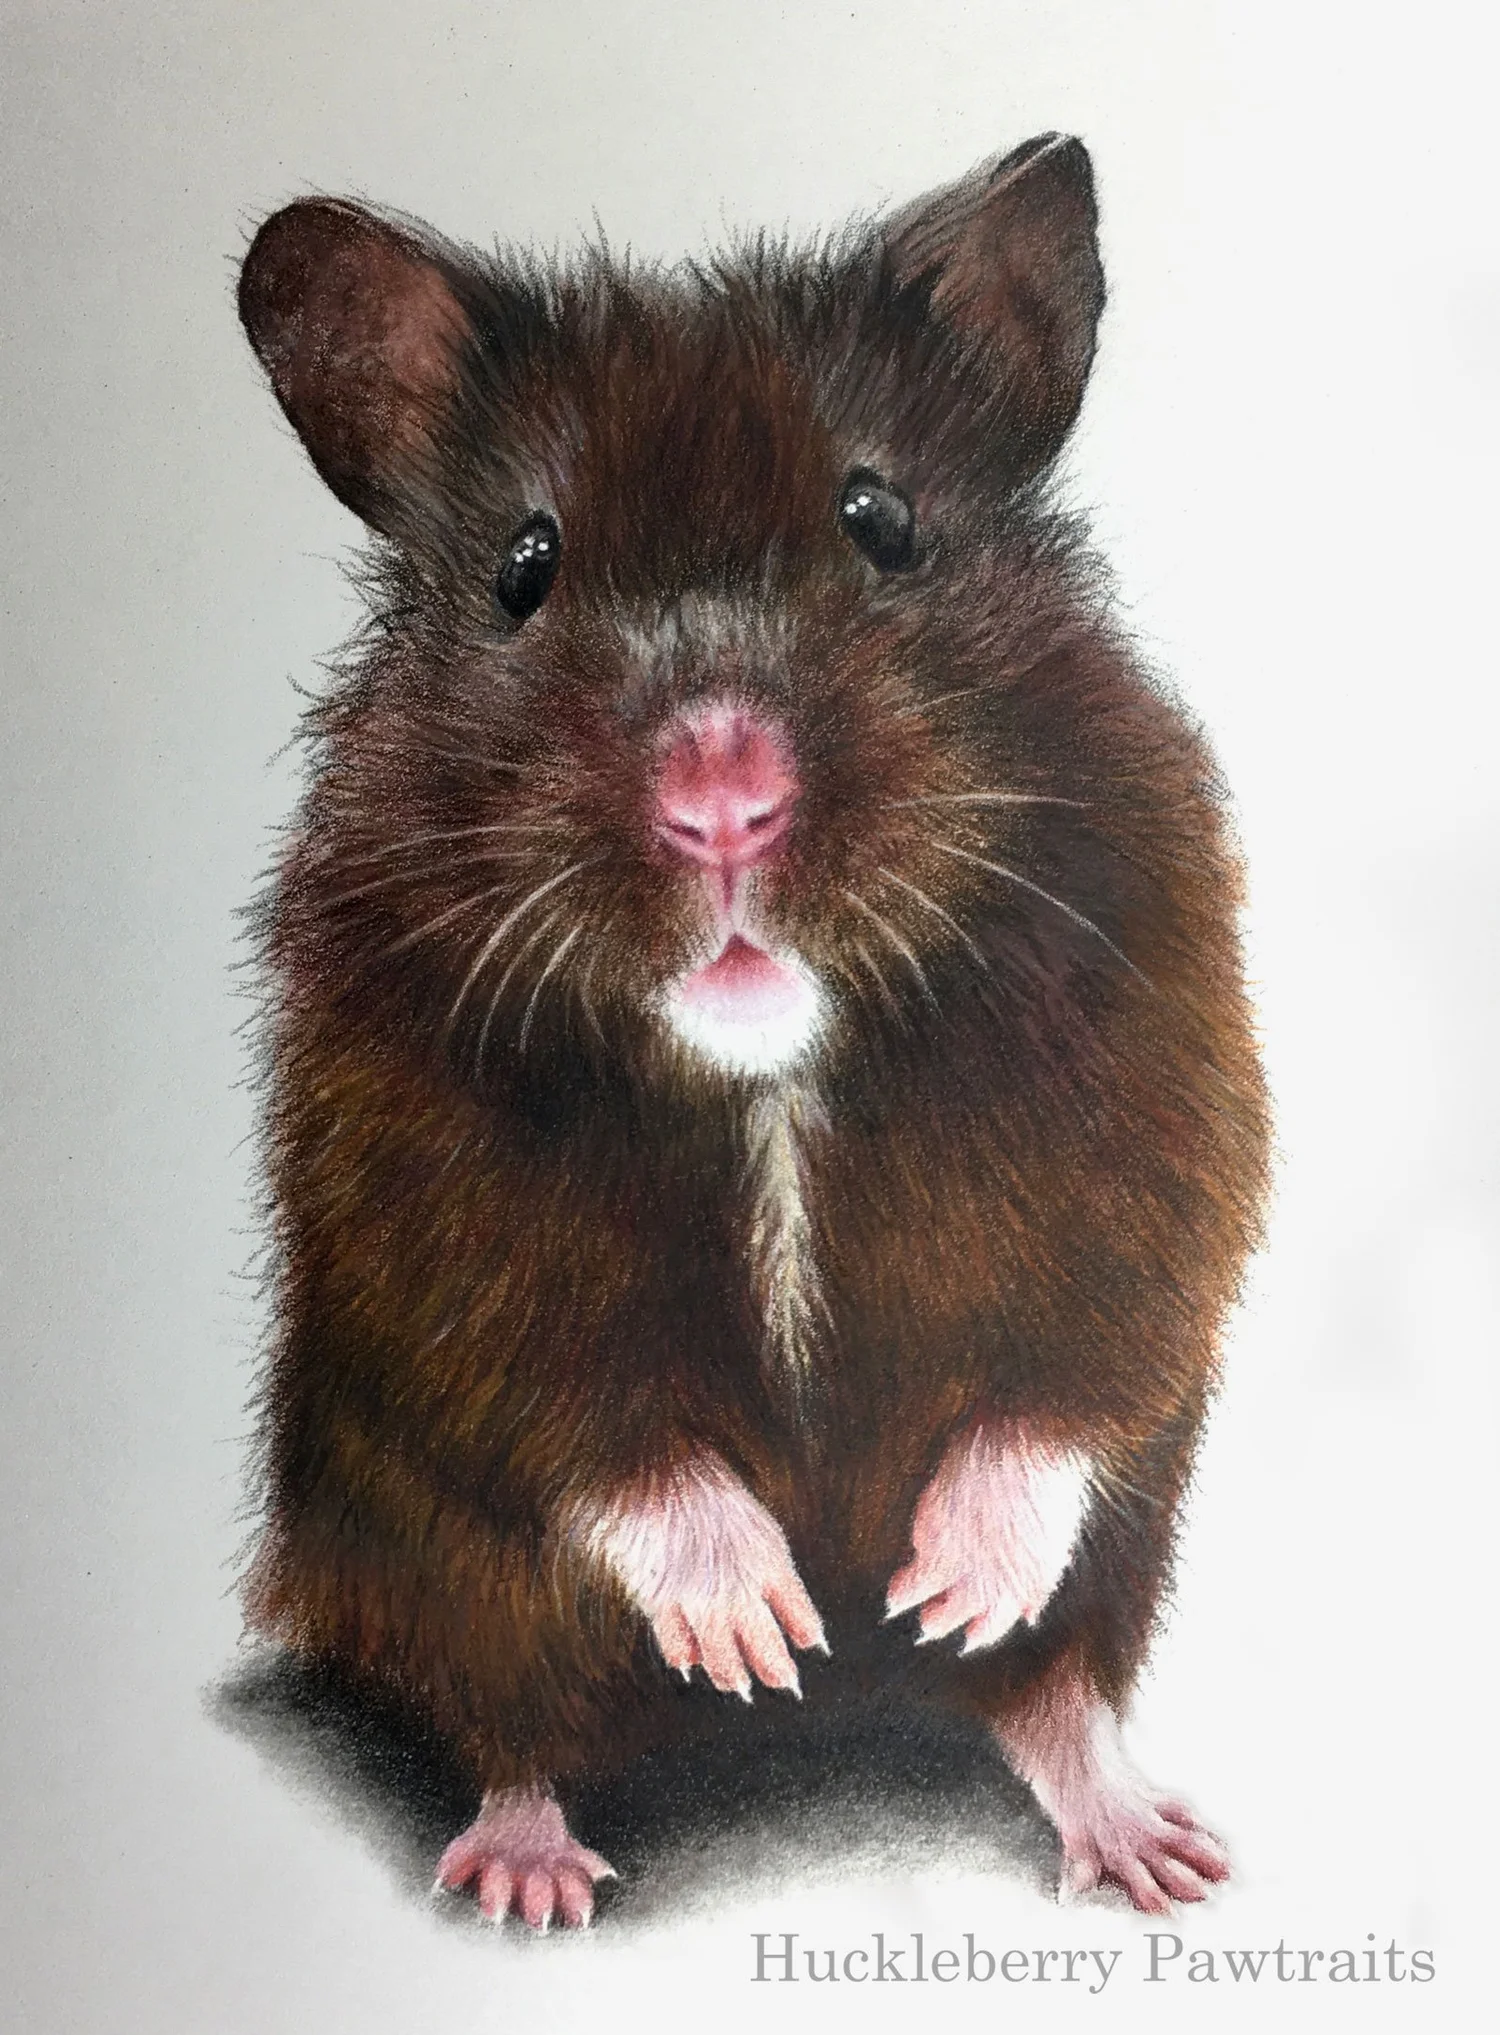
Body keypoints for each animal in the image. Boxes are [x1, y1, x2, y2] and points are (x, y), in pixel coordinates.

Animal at [235, 133, 1269, 1929]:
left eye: (882, 521)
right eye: (524, 567)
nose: (723, 800)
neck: (770, 1070)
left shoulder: (1164, 1066)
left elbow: (1080, 1352)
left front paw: (942, 1581)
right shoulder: (404, 1165)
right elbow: (577, 1403)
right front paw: (759, 1621)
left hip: (1132, 1551)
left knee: (1058, 1679)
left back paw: (1142, 1838)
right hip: (431, 1571)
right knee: (509, 1715)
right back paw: (542, 1863)